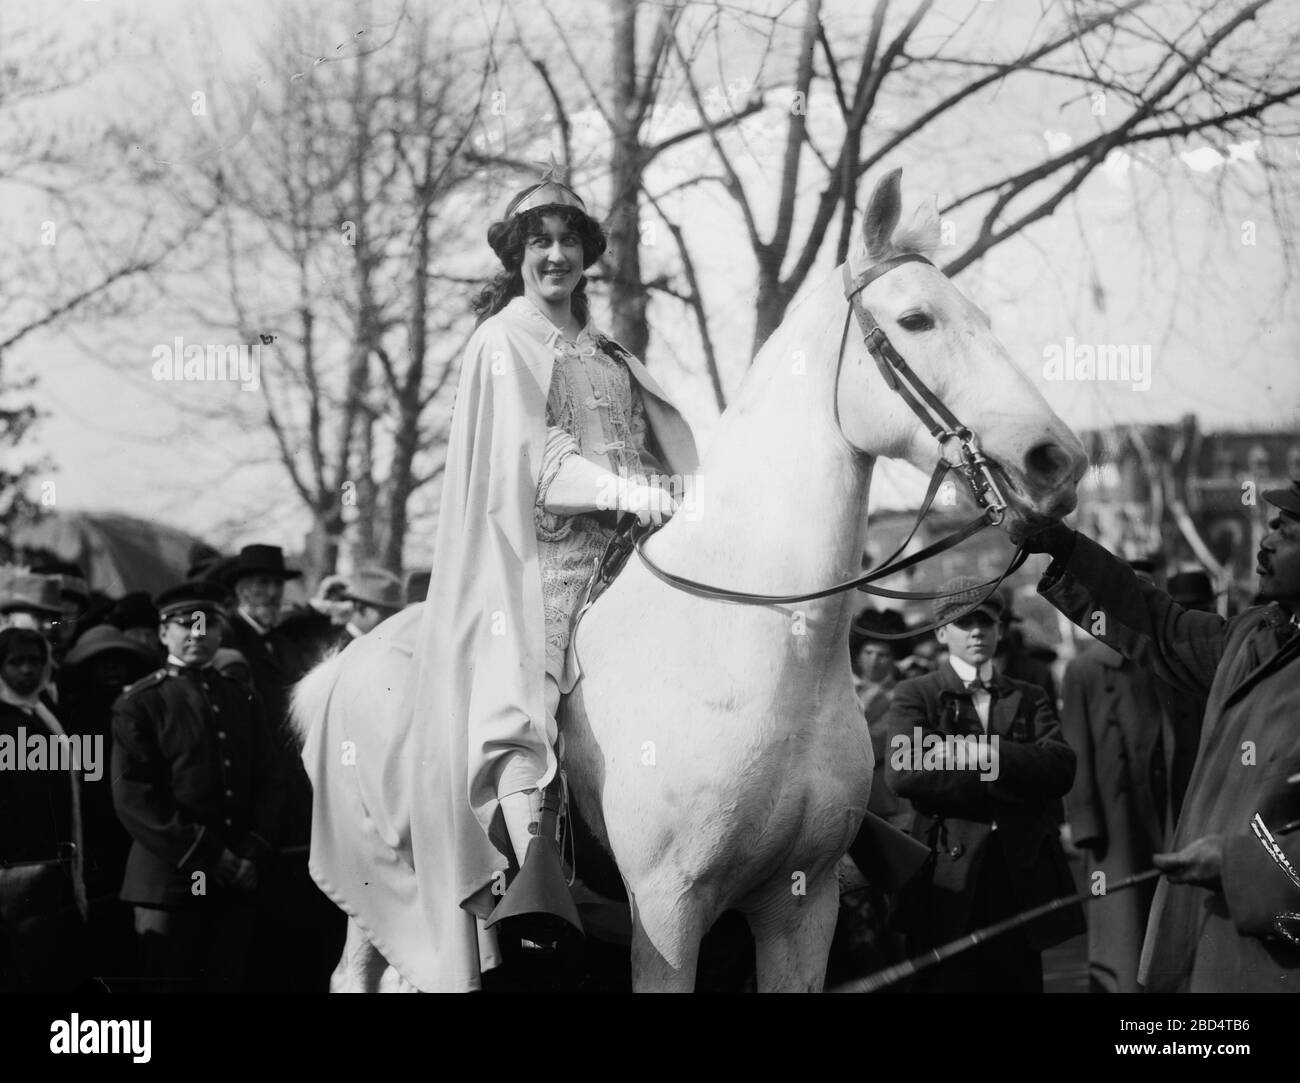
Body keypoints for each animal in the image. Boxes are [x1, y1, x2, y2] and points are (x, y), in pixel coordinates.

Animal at [292, 169, 1086, 988]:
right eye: (917, 319)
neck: (762, 649)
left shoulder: (803, 905)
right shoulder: (668, 909)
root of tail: (344, 663)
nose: (1057, 458)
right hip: (390, 899)